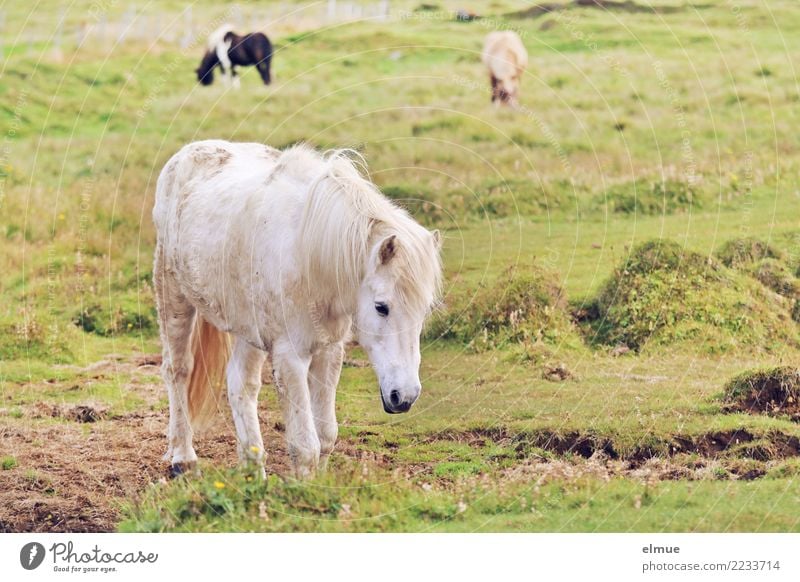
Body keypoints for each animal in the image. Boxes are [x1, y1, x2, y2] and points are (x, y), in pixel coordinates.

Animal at [150, 141, 444, 480]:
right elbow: (306, 447)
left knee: (241, 384)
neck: (307, 255)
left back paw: (254, 474)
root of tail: (187, 152)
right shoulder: (291, 357)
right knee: (178, 369)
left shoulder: (328, 351)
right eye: (381, 307)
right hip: (173, 296)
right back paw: (183, 459)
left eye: (424, 312)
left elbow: (326, 437)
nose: (404, 397)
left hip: (248, 328)